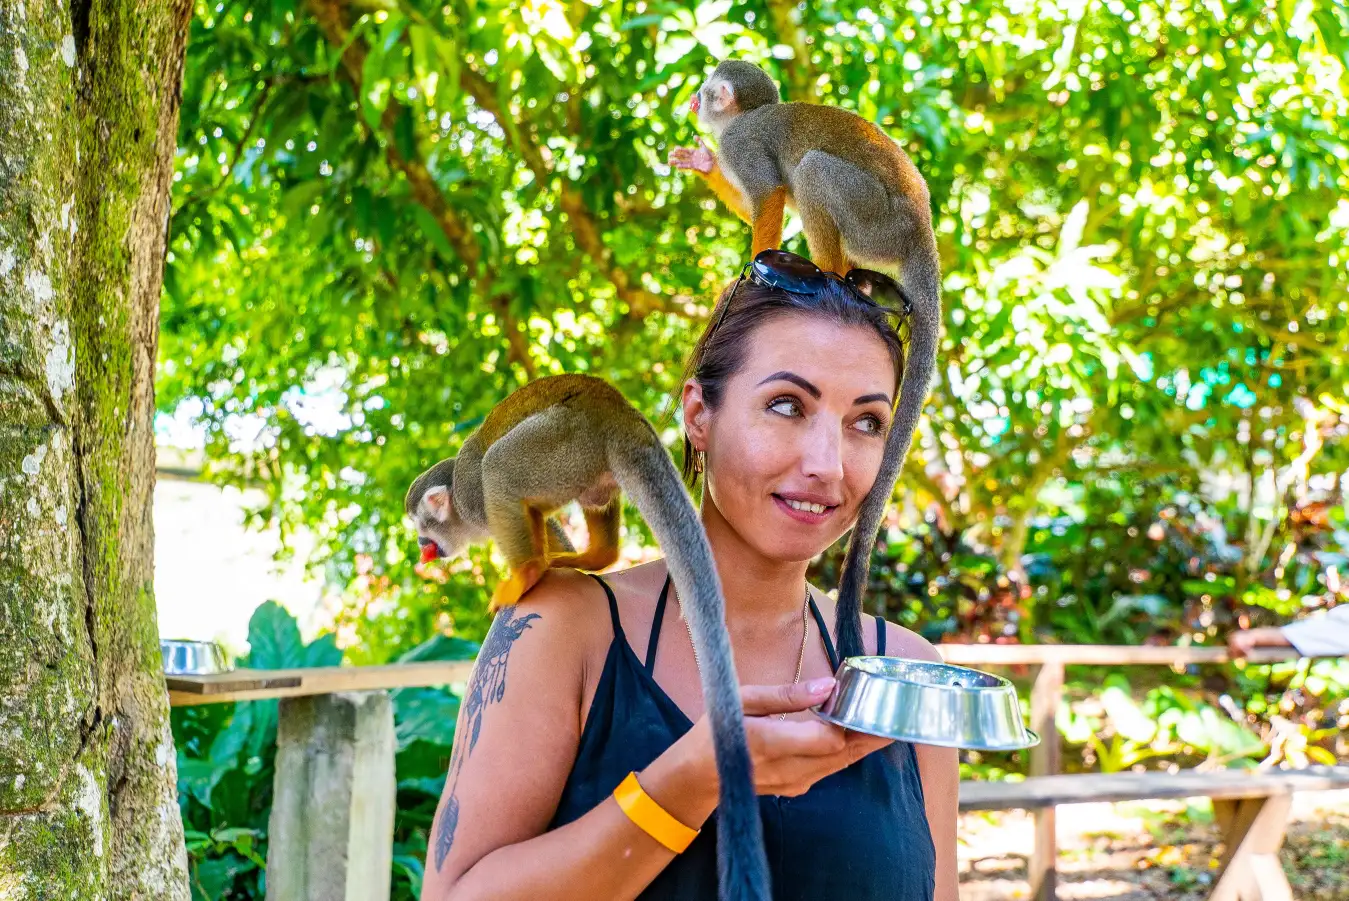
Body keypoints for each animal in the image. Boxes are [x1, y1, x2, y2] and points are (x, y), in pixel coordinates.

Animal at [669, 59, 942, 661]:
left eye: (707, 88)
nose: (694, 101)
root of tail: (921, 234)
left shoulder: (745, 142)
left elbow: (771, 192)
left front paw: (756, 258)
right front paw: (702, 163)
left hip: (875, 219)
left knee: (814, 170)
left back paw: (830, 270)